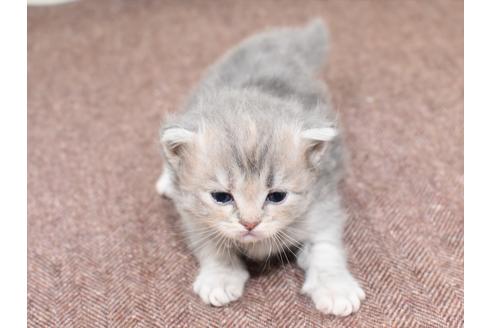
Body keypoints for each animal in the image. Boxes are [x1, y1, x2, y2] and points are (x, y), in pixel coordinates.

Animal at [157, 19, 366, 316]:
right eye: (222, 197)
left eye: (276, 196)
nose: (250, 223)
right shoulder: (192, 217)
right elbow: (213, 247)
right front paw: (220, 277)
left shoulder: (323, 205)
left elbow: (326, 248)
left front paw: (335, 288)